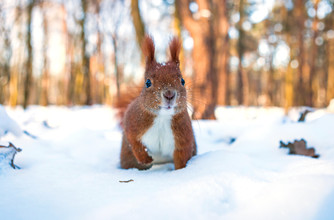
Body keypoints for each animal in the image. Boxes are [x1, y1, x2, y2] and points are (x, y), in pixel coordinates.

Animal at [121, 34, 197, 170]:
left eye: (182, 81)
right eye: (147, 82)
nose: (169, 95)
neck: (162, 118)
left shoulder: (184, 136)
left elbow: (182, 156)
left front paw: (181, 172)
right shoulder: (132, 121)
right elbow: (133, 141)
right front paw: (145, 159)